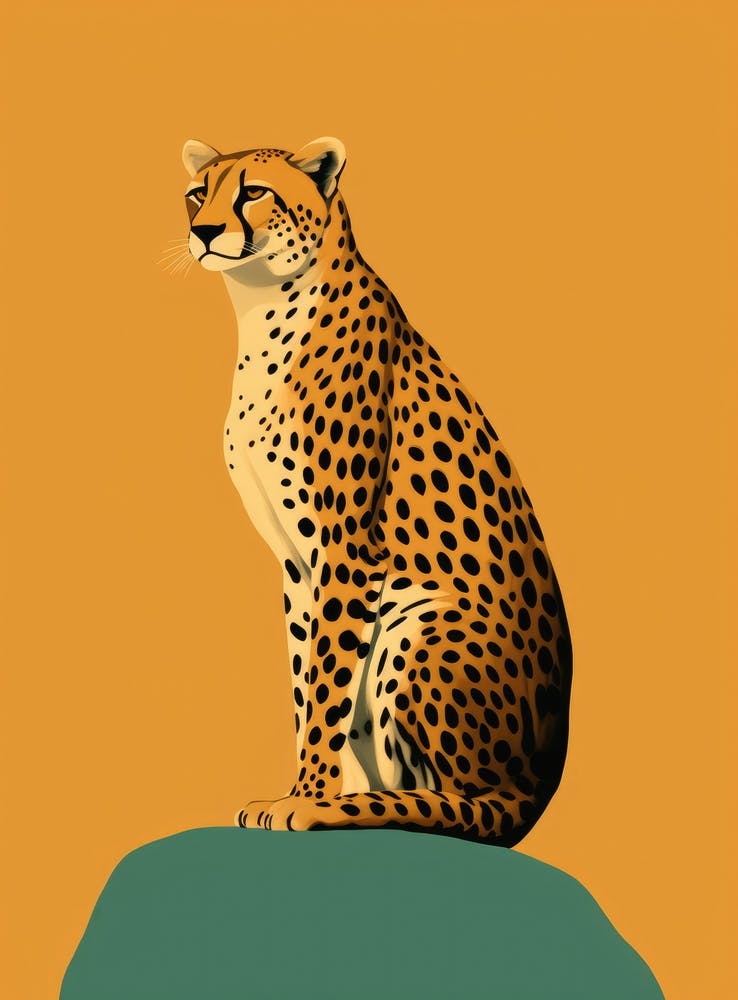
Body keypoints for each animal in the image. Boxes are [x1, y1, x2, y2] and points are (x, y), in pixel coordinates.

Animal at [181, 136, 573, 846]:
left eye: (255, 192)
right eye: (200, 193)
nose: (203, 230)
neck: (263, 308)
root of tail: (536, 785)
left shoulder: (345, 553)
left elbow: (326, 687)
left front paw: (305, 800)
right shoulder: (296, 564)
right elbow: (305, 682)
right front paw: (303, 791)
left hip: (419, 622)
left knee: (468, 805)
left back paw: (349, 809)